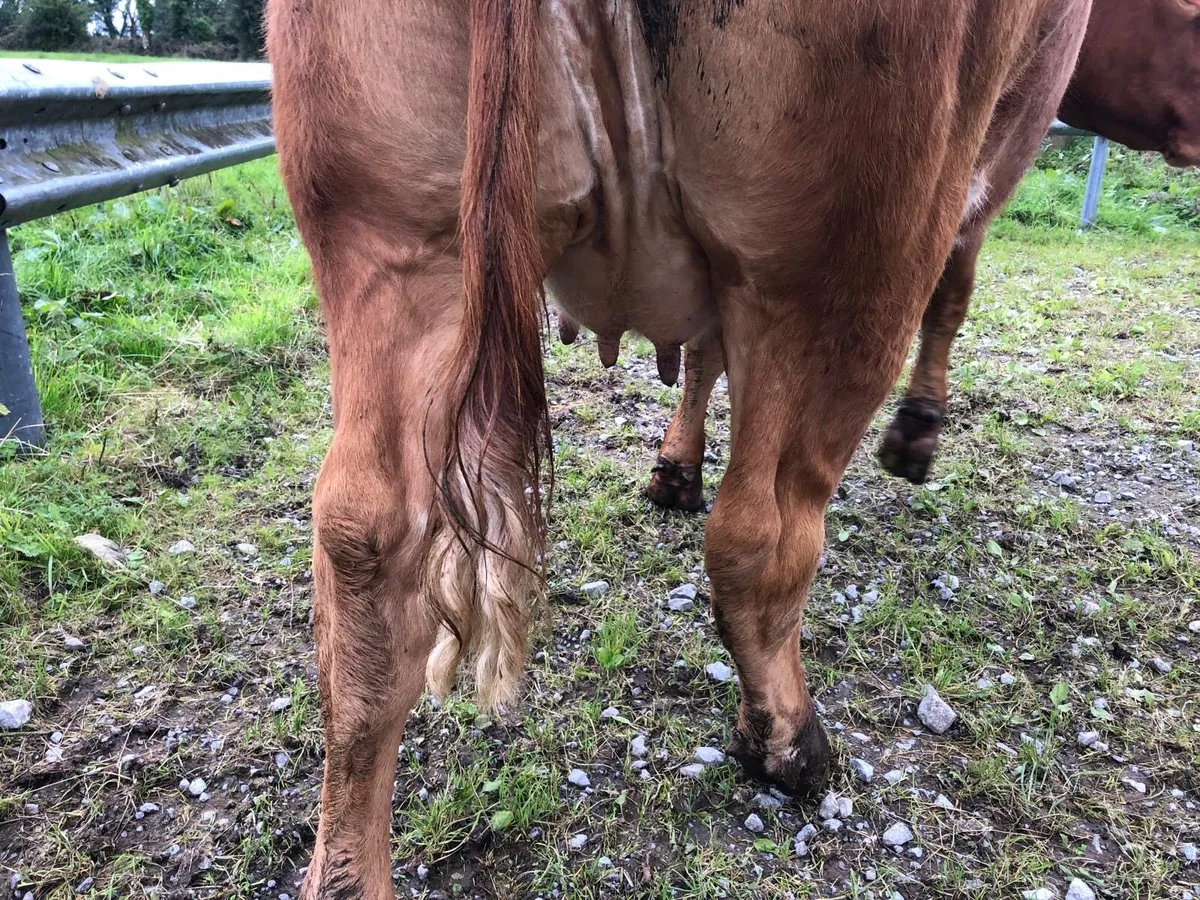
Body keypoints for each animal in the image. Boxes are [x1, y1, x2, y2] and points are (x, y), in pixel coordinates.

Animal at [265, 0, 1091, 896]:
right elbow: (958, 277)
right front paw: (916, 435)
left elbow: (702, 353)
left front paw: (674, 470)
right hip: (844, 252)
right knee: (763, 537)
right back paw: (789, 743)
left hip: (394, 237)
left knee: (364, 540)